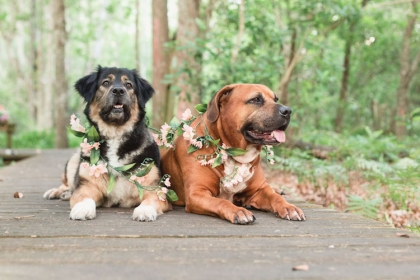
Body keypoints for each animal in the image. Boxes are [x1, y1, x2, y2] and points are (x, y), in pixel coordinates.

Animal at [43, 66, 171, 221]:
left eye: (129, 85)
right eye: (105, 82)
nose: (118, 90)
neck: (115, 133)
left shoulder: (154, 187)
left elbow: (150, 199)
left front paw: (145, 210)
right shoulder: (88, 184)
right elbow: (83, 196)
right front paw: (82, 208)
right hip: (74, 159)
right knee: (67, 183)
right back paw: (58, 192)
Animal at [162, 83, 306, 225]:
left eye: (275, 99)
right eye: (256, 99)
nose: (288, 111)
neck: (236, 154)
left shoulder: (259, 190)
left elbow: (274, 197)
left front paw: (289, 207)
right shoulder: (197, 193)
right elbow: (221, 201)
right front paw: (238, 211)